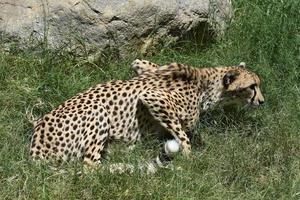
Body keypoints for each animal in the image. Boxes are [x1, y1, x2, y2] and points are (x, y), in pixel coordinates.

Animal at [29, 59, 264, 169]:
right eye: (252, 87)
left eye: (258, 84)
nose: (262, 101)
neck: (205, 84)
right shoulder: (152, 97)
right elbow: (184, 131)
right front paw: (189, 157)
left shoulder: (143, 66)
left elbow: (143, 64)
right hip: (98, 112)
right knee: (90, 167)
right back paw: (125, 166)